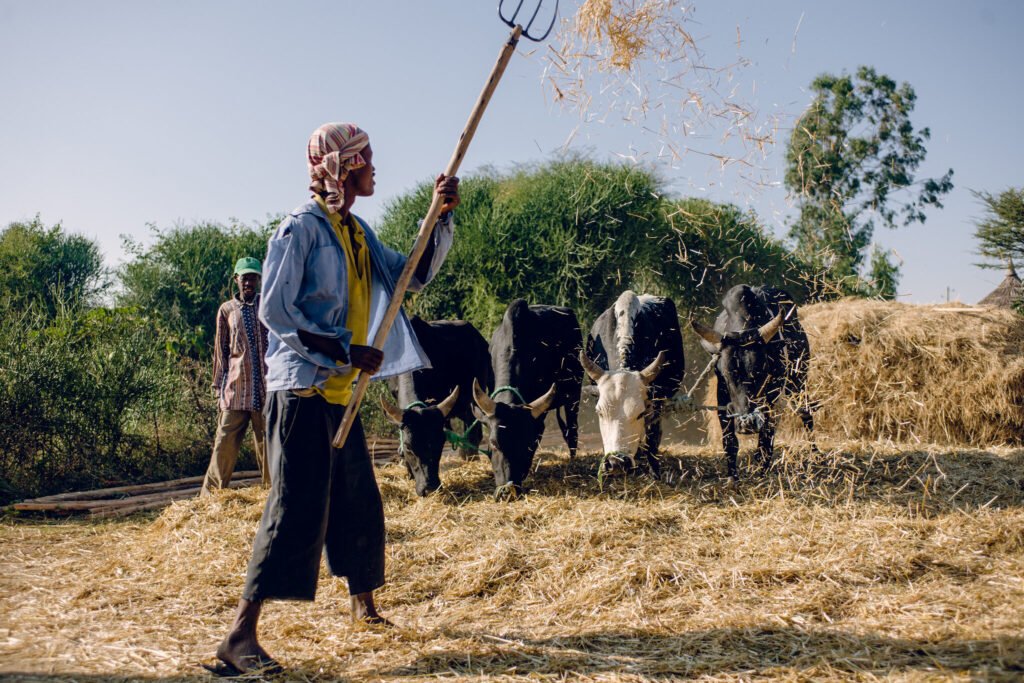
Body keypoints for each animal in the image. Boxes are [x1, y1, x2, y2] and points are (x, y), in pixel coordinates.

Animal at [581, 290, 684, 479]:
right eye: (600, 413)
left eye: (640, 413)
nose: (616, 463)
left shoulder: (655, 403)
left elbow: (652, 438)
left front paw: (654, 472)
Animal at [692, 284, 811, 481]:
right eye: (727, 375)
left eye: (760, 372)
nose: (747, 423)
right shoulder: (722, 392)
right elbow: (729, 439)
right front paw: (732, 476)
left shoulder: (772, 393)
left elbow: (766, 435)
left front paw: (762, 470)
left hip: (798, 379)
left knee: (806, 414)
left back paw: (815, 454)